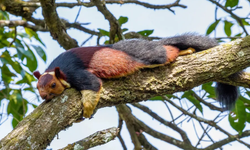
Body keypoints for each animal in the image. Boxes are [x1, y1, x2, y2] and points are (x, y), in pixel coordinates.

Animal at [33, 34, 238, 118]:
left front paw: (88, 109)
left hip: (149, 55)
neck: (58, 70)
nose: (44, 96)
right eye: (37, 87)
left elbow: (92, 85)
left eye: (52, 85)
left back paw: (183, 50)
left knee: (164, 52)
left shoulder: (75, 72)